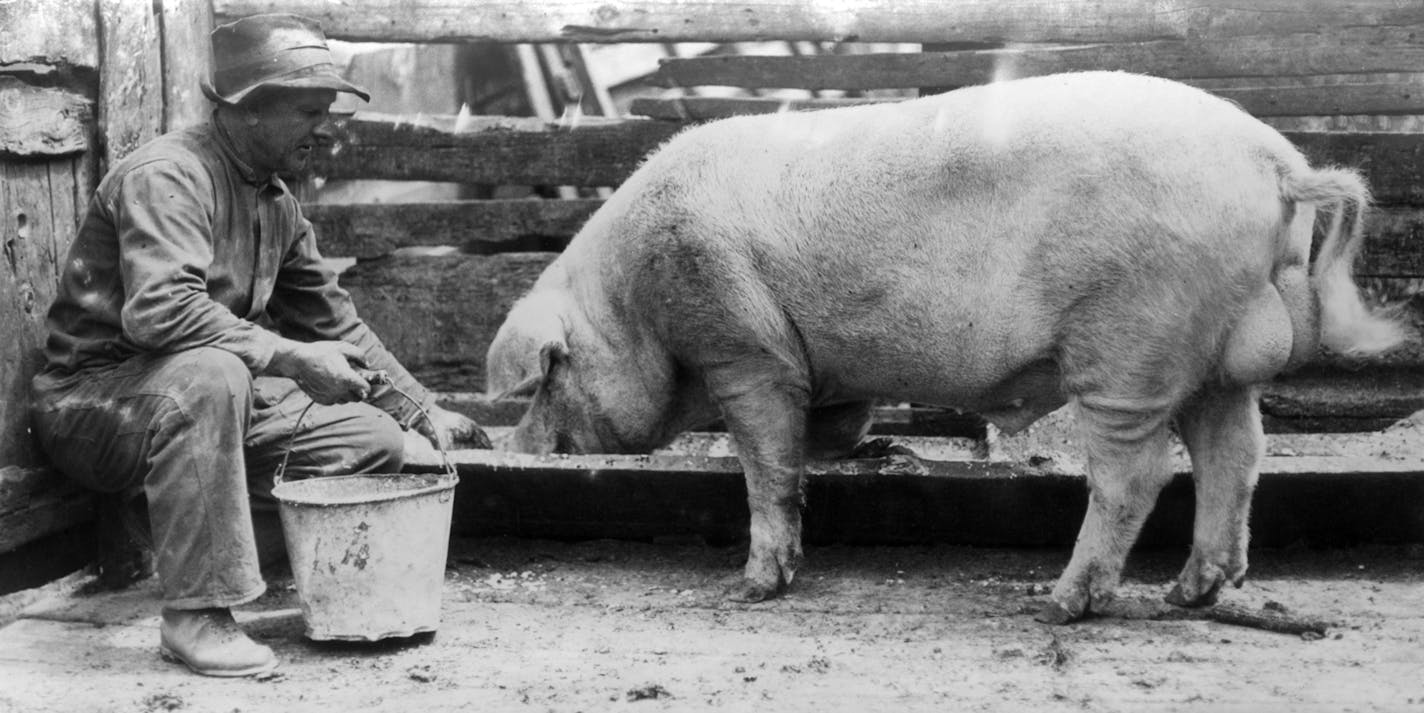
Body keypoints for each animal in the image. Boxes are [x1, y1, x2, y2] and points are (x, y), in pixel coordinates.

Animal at [487, 69, 1401, 620]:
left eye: (548, 374)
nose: (517, 444)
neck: (629, 293)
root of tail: (1274, 160)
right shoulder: (815, 366)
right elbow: (824, 430)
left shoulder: (739, 344)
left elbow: (767, 458)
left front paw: (752, 588)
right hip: (1213, 351)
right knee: (1236, 454)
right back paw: (1190, 594)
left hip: (1130, 340)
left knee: (1139, 471)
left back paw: (1058, 601)